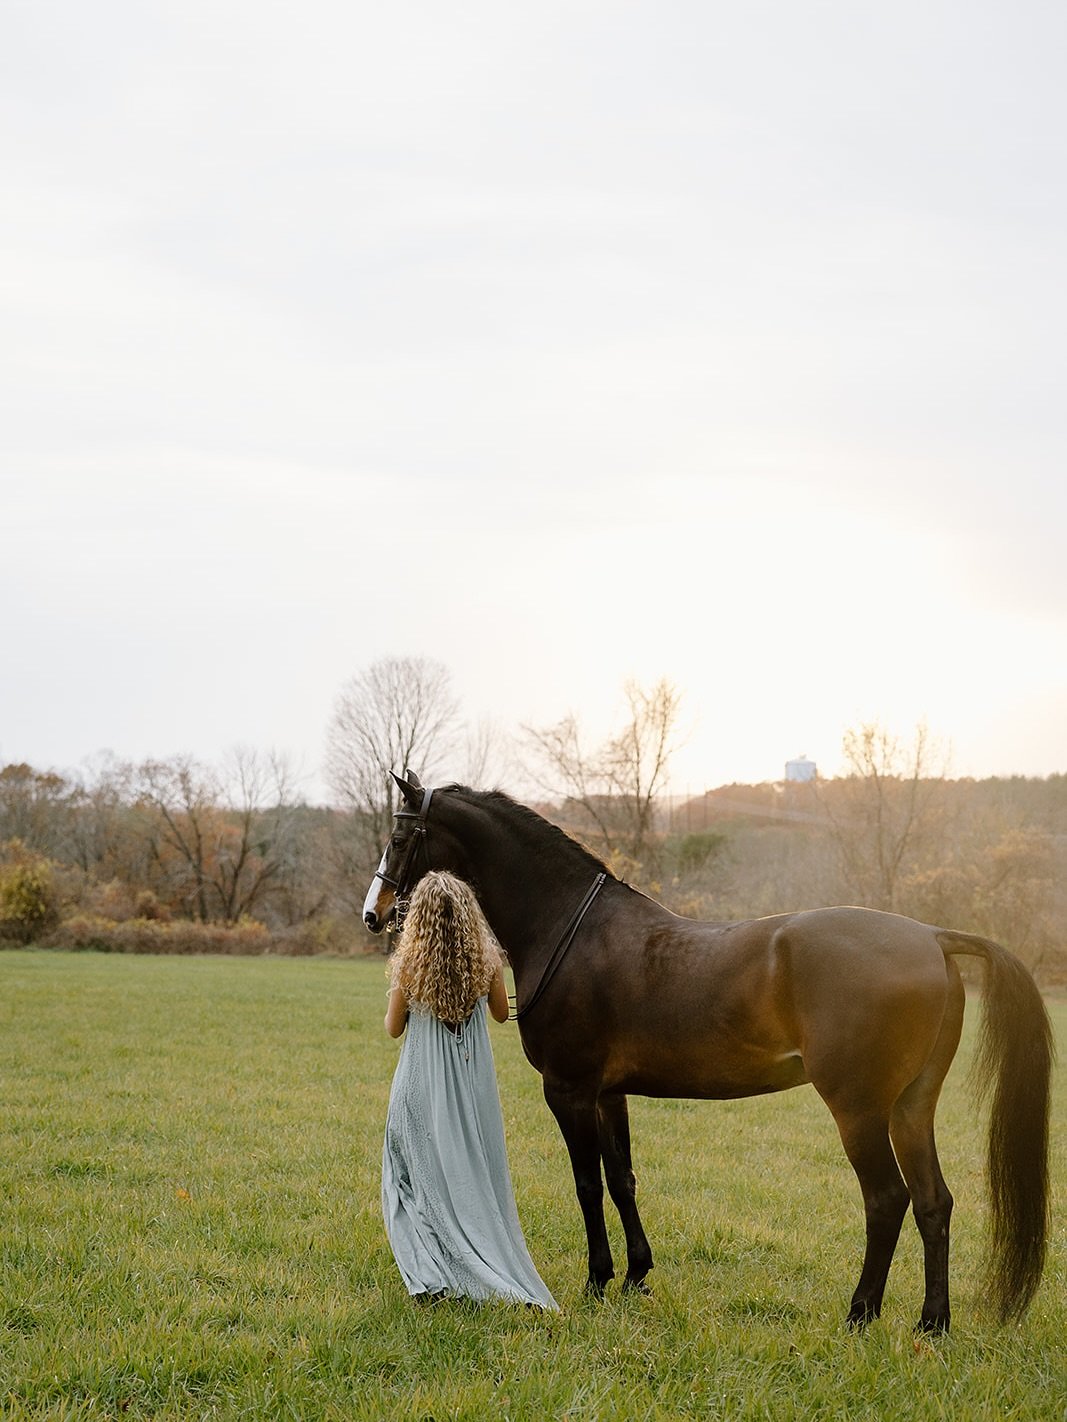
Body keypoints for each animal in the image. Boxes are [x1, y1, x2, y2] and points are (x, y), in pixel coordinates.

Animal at [363, 772, 1053, 1332]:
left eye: (399, 835)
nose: (373, 913)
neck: (570, 929)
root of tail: (932, 937)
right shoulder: (609, 1093)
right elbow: (622, 1180)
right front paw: (636, 1276)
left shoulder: (569, 1089)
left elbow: (587, 1184)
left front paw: (597, 1281)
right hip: (913, 1107)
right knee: (934, 1201)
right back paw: (931, 1323)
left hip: (858, 1110)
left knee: (887, 1200)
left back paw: (861, 1313)